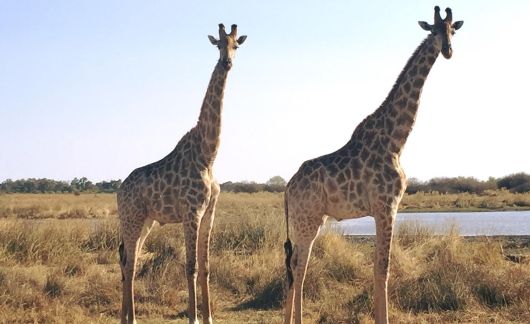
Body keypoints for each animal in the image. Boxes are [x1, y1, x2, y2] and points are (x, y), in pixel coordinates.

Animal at [116, 23, 244, 324]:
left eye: (236, 45)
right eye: (218, 44)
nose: (227, 62)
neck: (208, 155)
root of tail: (118, 191)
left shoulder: (209, 213)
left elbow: (206, 266)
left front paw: (208, 318)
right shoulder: (191, 212)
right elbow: (191, 267)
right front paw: (193, 317)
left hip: (146, 221)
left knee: (129, 260)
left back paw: (126, 317)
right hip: (131, 218)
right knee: (129, 263)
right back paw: (131, 318)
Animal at [282, 5, 460, 324]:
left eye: (453, 29)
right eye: (434, 30)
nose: (448, 50)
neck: (396, 141)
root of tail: (288, 187)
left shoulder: (384, 208)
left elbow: (379, 267)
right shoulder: (386, 205)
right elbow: (382, 268)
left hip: (309, 219)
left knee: (293, 263)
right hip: (308, 218)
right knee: (299, 265)